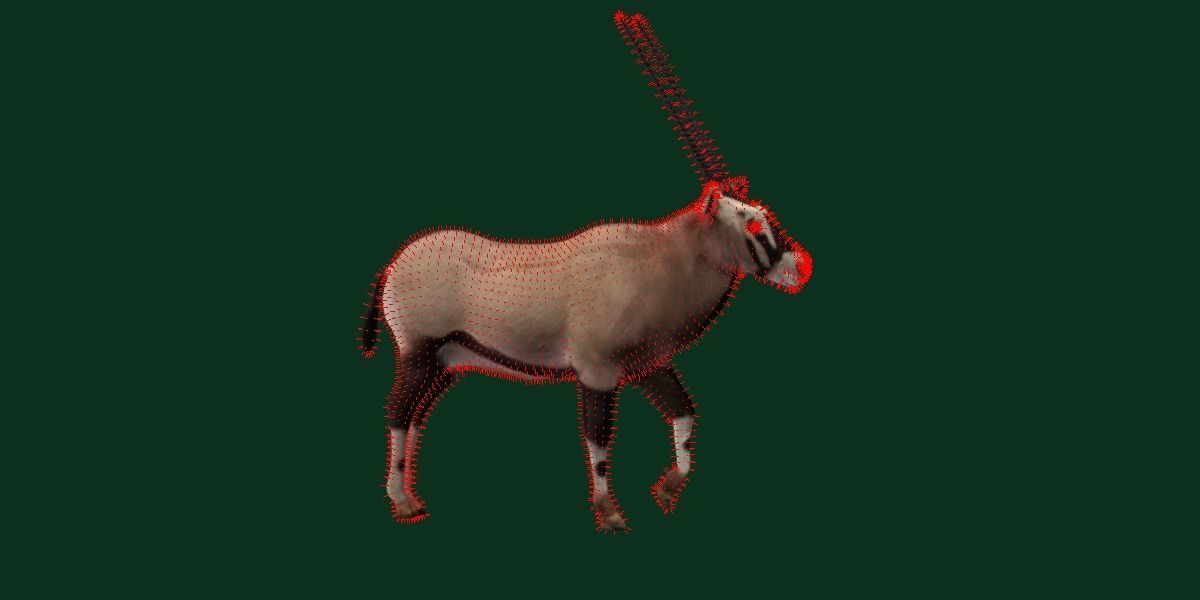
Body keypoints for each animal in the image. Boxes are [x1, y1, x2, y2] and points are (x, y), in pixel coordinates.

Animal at [358, 11, 813, 531]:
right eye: (754, 223)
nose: (801, 268)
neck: (661, 255)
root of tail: (395, 263)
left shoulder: (648, 365)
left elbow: (685, 416)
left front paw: (667, 490)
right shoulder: (596, 370)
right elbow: (598, 441)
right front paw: (610, 513)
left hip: (445, 363)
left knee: (415, 417)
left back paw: (411, 498)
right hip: (418, 352)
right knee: (397, 414)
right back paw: (401, 500)